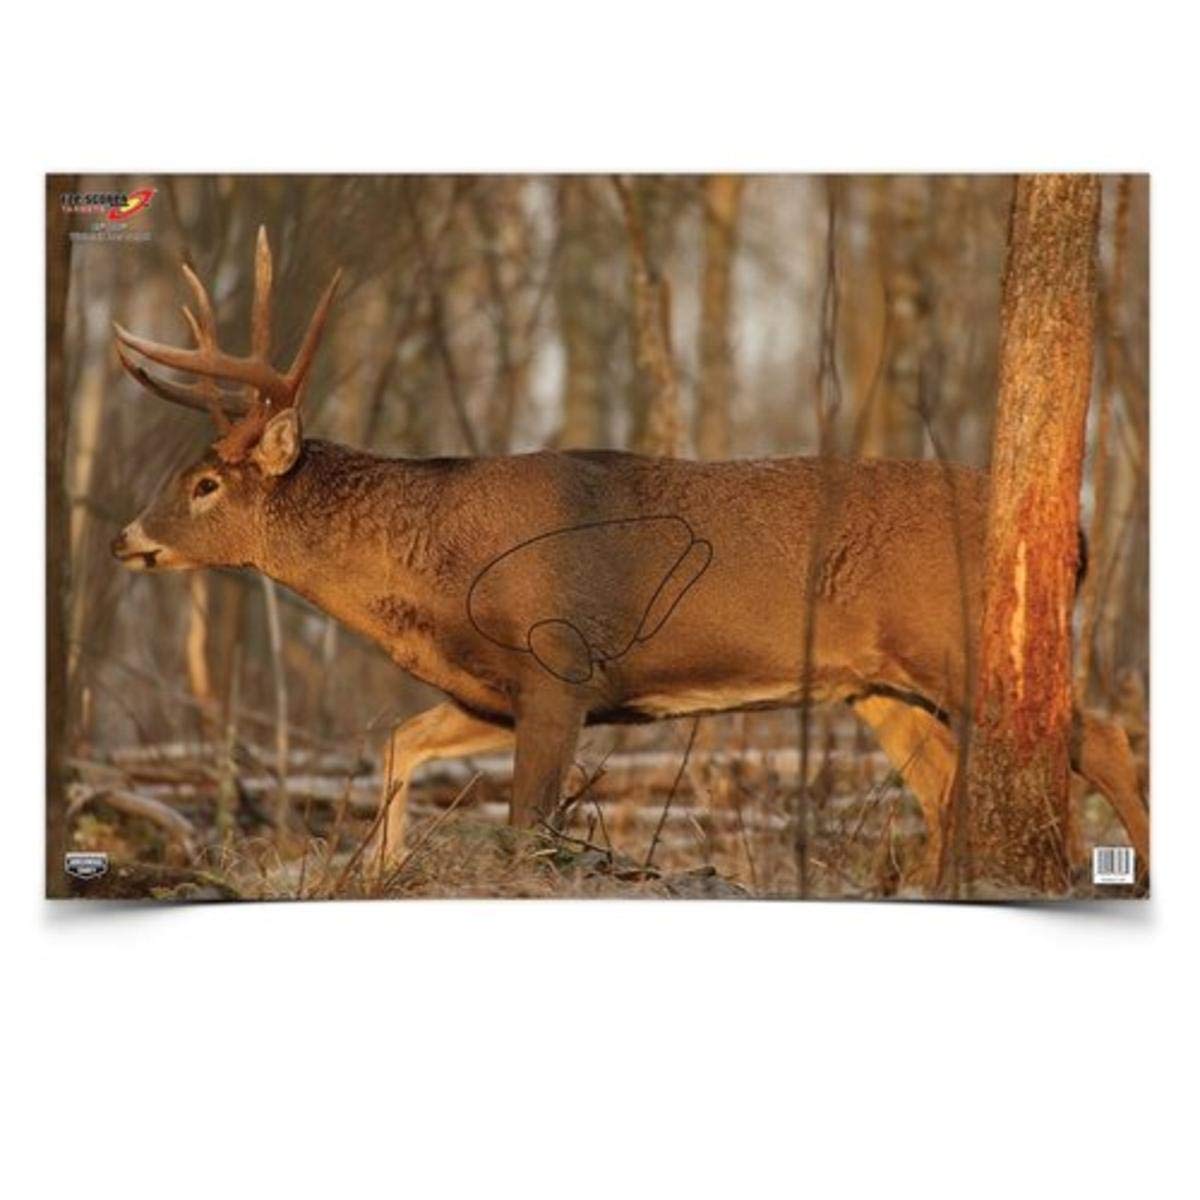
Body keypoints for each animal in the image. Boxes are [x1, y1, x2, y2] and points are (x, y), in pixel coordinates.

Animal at [109, 227, 1149, 890]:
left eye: (206, 483)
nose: (125, 538)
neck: (435, 573)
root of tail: (1076, 532)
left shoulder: (560, 666)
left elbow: (528, 831)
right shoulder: (496, 690)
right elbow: (399, 742)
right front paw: (385, 868)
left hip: (960, 643)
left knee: (1101, 739)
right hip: (875, 684)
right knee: (944, 785)